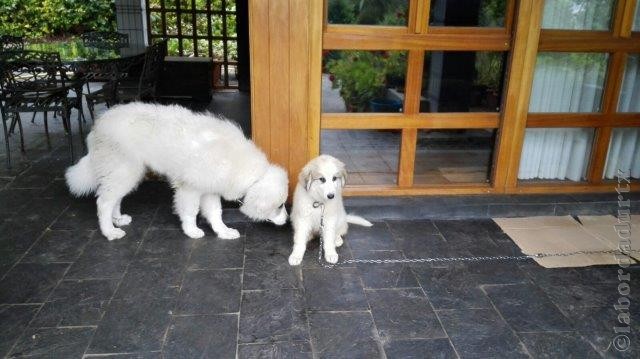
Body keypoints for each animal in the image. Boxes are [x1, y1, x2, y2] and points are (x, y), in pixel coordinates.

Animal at [65, 102, 288, 240]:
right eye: (279, 206)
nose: (287, 221)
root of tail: (99, 124)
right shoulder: (190, 189)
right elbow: (190, 212)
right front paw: (192, 231)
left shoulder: (209, 189)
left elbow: (215, 213)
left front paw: (223, 232)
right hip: (125, 171)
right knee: (103, 202)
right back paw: (110, 232)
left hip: (126, 174)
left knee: (114, 199)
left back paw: (118, 219)